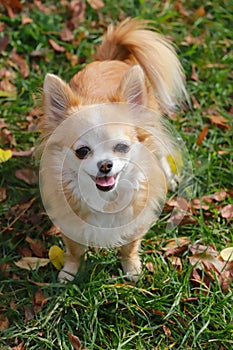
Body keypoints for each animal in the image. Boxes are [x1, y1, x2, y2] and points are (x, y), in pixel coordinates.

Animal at [38, 18, 187, 282]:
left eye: (122, 147)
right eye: (82, 151)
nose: (105, 165)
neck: (106, 200)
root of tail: (107, 59)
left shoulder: (135, 222)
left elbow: (129, 247)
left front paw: (132, 270)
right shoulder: (69, 223)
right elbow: (74, 250)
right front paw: (69, 273)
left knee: (159, 150)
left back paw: (169, 177)